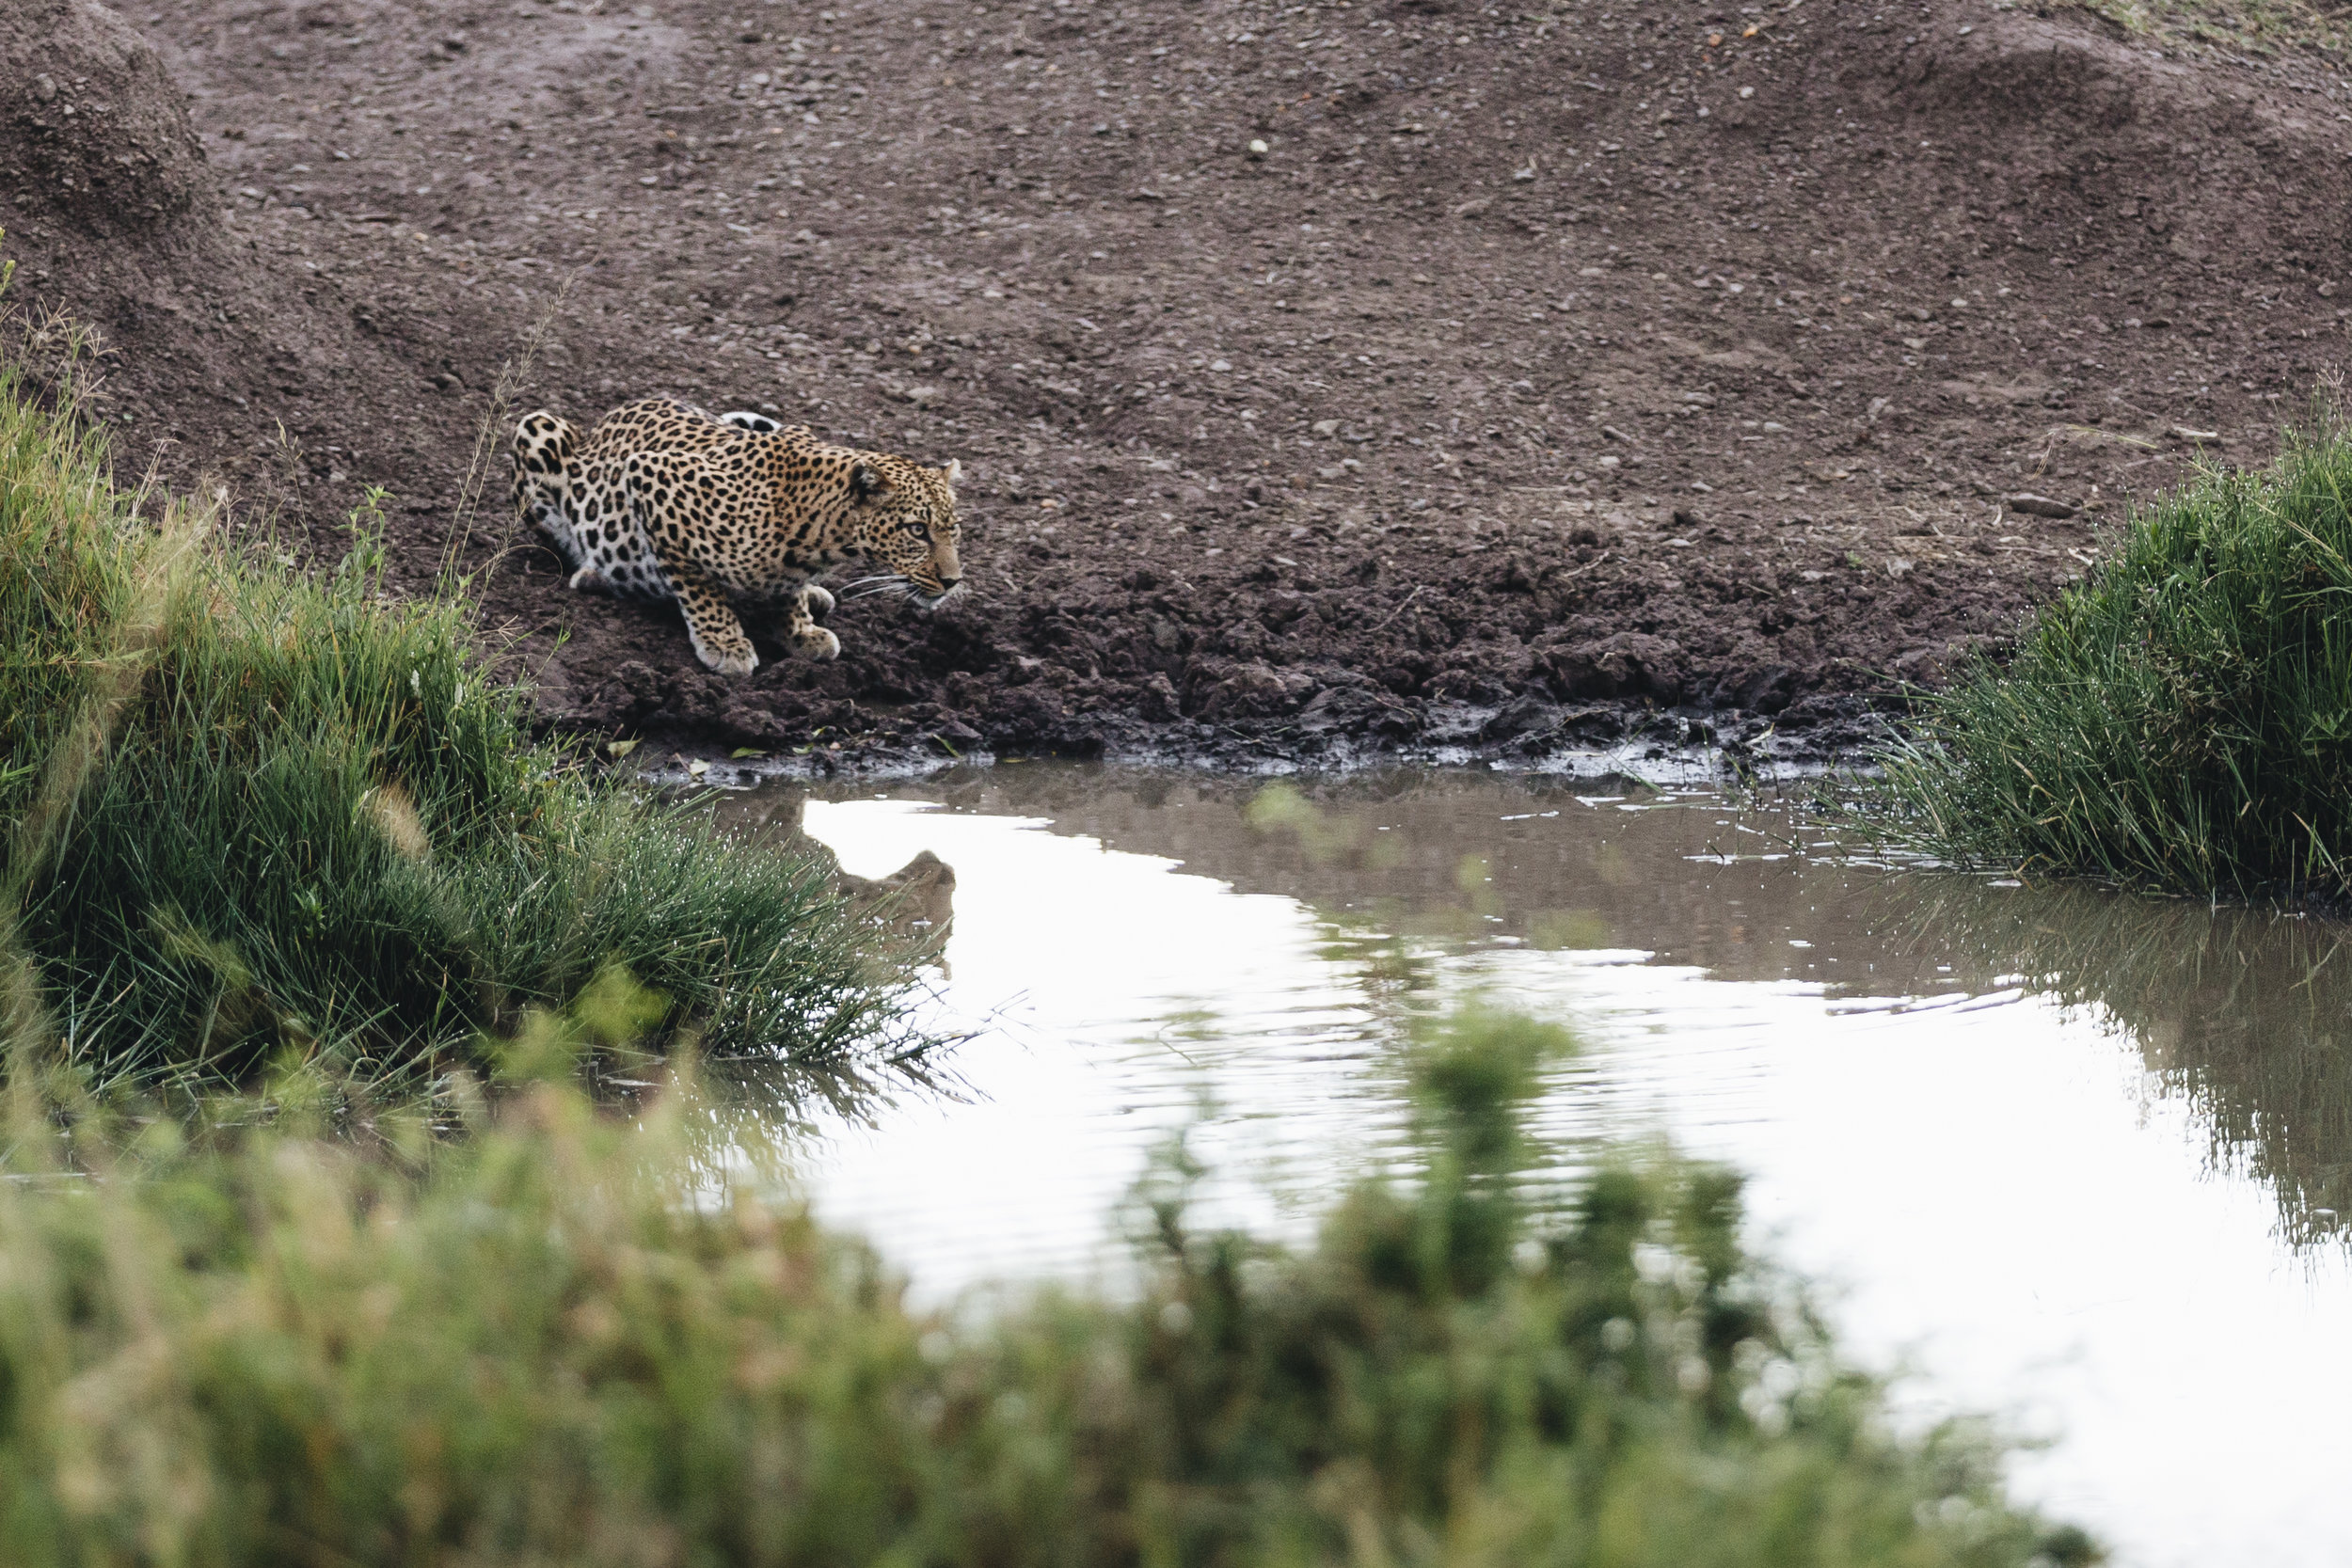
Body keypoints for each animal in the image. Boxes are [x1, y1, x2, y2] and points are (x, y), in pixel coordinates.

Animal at [510, 394, 960, 676]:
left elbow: (787, 591)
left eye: (953, 529)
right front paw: (725, 643)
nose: (953, 581)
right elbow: (697, 584)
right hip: (536, 430)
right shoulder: (653, 476)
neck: (821, 538)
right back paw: (595, 575)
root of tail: (604, 419)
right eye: (917, 530)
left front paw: (800, 629)